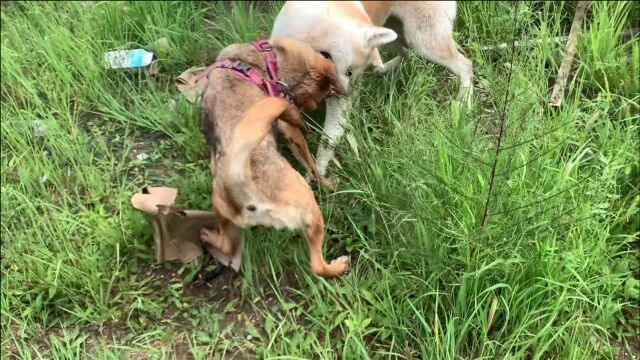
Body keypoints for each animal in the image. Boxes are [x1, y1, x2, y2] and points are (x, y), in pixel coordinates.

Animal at [200, 36, 350, 278]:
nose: (307, 109)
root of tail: (245, 191)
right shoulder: (289, 127)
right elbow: (312, 166)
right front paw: (328, 184)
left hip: (220, 209)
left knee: (226, 244)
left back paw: (207, 236)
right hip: (309, 208)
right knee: (317, 265)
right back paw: (338, 266)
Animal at [272, 1, 476, 176]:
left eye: (351, 72)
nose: (346, 93)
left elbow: (327, 140)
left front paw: (317, 177)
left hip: (423, 41)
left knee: (465, 65)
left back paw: (464, 99)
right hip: (395, 34)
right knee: (406, 53)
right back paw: (385, 68)